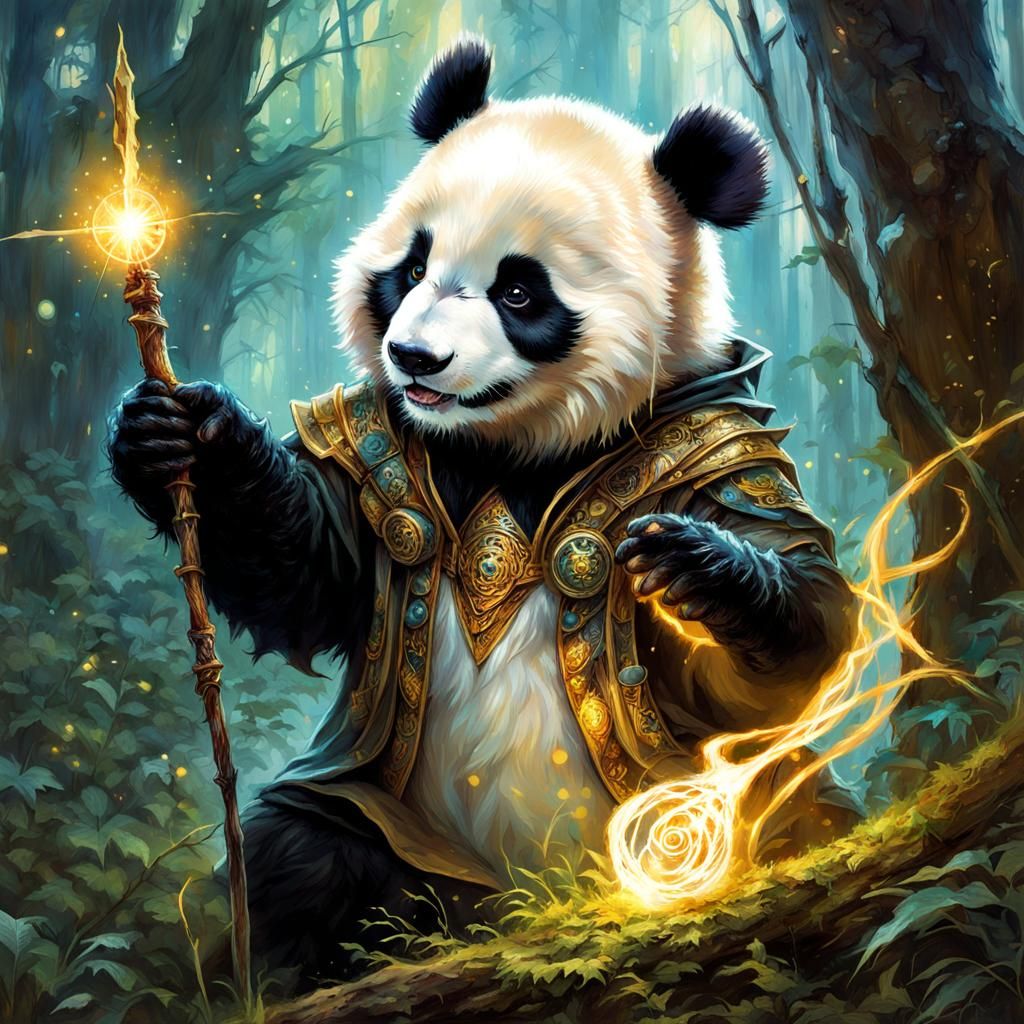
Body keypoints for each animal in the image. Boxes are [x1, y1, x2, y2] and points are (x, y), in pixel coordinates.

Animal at [109, 36, 856, 986]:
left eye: (520, 293)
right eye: (412, 269)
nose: (414, 357)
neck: (517, 445)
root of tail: (515, 904)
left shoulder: (720, 445)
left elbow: (798, 639)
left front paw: (696, 564)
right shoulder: (385, 457)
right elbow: (311, 579)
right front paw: (182, 435)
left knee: (808, 835)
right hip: (388, 827)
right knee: (299, 859)